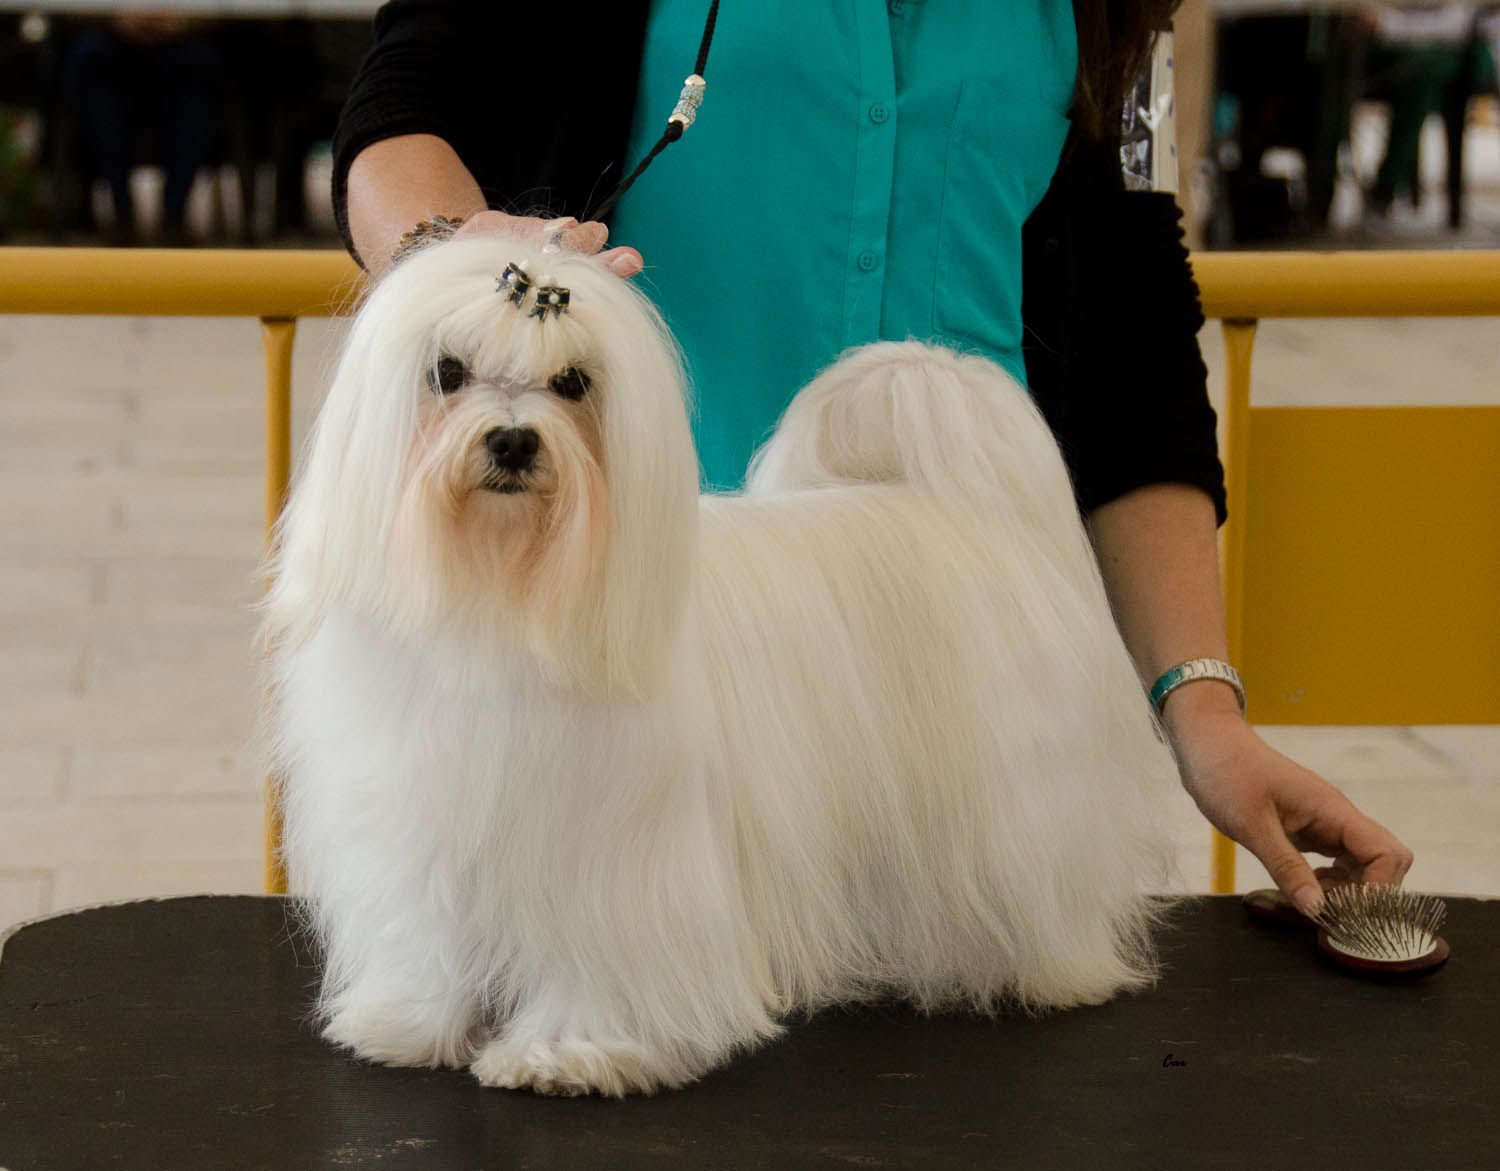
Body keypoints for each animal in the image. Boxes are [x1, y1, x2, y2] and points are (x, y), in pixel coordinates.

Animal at [262, 234, 1179, 1097]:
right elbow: (431, 936)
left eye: (574, 383)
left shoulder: (617, 856)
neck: (502, 597)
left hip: (1019, 797)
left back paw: (1048, 970)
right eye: (446, 372)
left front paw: (576, 1051)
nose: (515, 441)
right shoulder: (423, 826)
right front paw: (413, 1024)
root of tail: (976, 510)